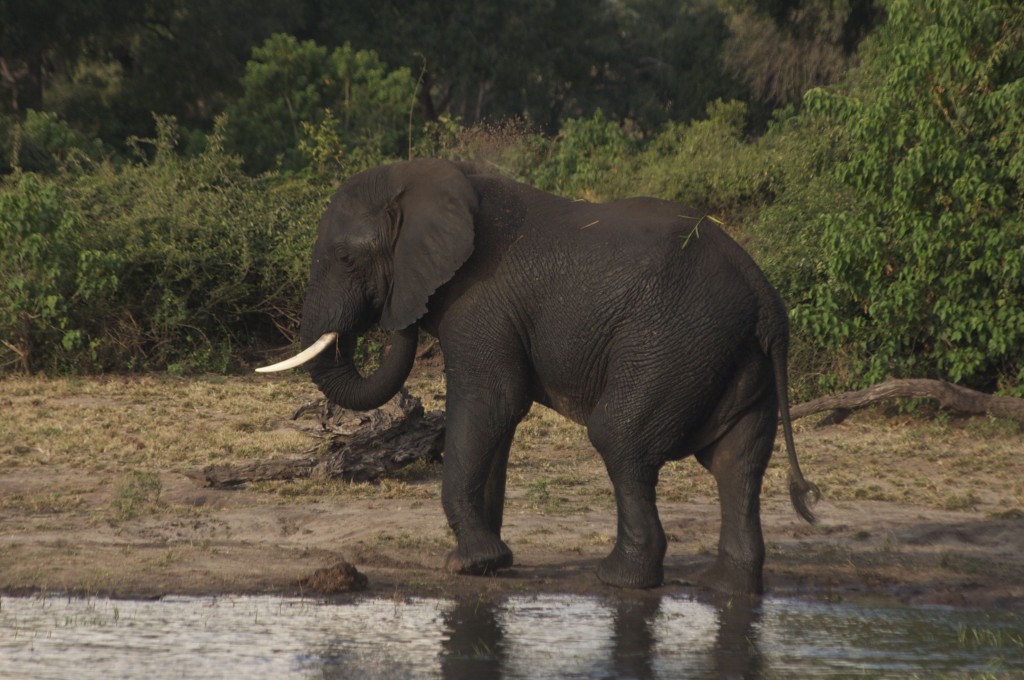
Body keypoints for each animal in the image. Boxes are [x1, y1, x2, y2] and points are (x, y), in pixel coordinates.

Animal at [257, 158, 819, 594]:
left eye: (346, 258)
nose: (394, 314)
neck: (431, 177)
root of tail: (763, 293)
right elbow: (498, 422)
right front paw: (489, 566)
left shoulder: (479, 302)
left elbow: (490, 402)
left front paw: (467, 565)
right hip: (731, 355)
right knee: (735, 461)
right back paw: (724, 587)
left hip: (673, 343)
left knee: (620, 437)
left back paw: (618, 579)